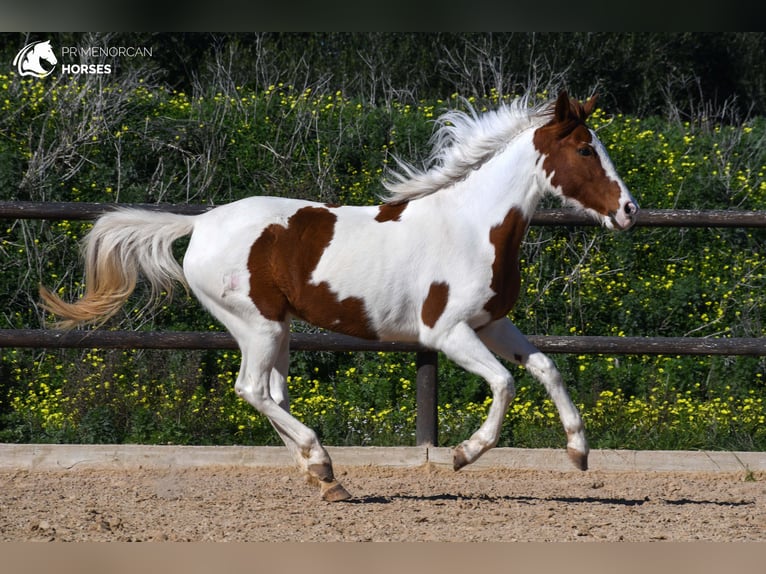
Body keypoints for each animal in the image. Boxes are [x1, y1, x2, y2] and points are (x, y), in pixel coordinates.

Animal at [42, 92, 640, 502]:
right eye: (586, 149)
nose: (630, 210)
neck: (475, 227)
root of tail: (201, 223)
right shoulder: (446, 332)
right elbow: (505, 383)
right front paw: (463, 455)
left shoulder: (491, 323)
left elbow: (546, 368)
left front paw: (579, 452)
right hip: (257, 325)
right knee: (251, 390)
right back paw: (322, 461)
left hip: (279, 329)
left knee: (272, 394)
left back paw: (324, 477)